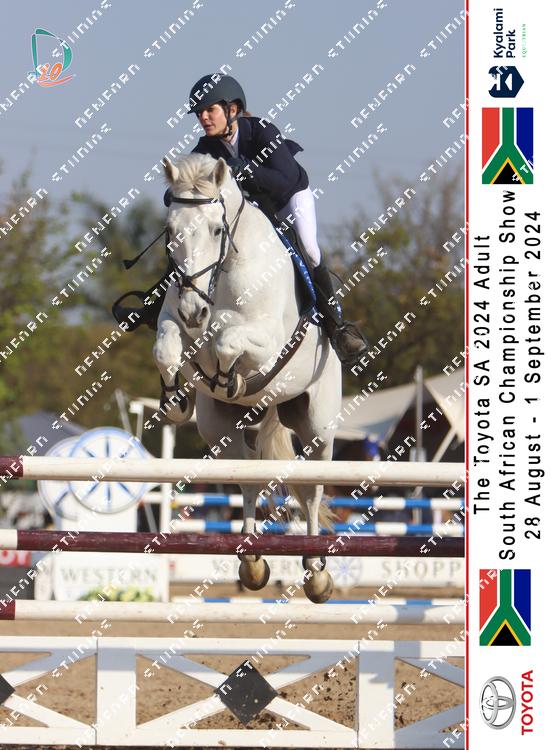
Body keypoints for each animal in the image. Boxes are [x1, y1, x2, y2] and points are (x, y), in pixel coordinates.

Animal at [153, 153, 342, 602]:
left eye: (217, 229)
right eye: (170, 231)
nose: (194, 312)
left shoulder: (267, 341)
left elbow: (227, 339)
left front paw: (231, 378)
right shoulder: (173, 322)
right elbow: (167, 348)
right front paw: (175, 400)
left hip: (318, 429)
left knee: (312, 492)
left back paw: (316, 571)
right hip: (219, 429)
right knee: (249, 478)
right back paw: (252, 558)